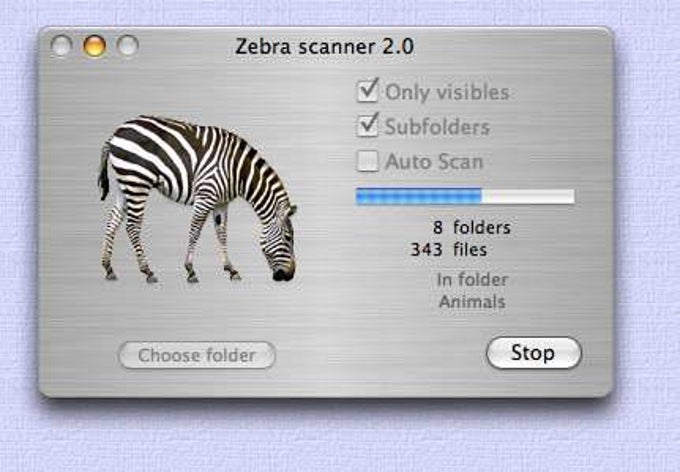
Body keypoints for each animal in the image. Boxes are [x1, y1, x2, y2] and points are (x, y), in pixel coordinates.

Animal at [98, 115, 297, 283]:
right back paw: (147, 271)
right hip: (137, 182)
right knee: (132, 226)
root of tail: (115, 133)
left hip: (125, 184)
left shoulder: (221, 202)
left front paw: (231, 269)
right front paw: (190, 270)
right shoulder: (206, 195)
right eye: (288, 238)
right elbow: (195, 231)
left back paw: (108, 268)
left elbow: (222, 233)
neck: (238, 171)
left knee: (113, 220)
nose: (290, 276)